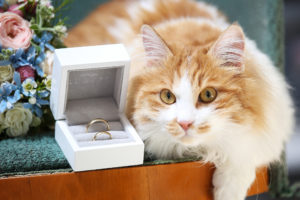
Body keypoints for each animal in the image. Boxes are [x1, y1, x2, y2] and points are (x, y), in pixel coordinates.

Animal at [66, 0, 296, 200]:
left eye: (208, 95)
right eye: (167, 96)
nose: (185, 123)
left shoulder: (269, 122)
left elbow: (242, 152)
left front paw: (227, 191)